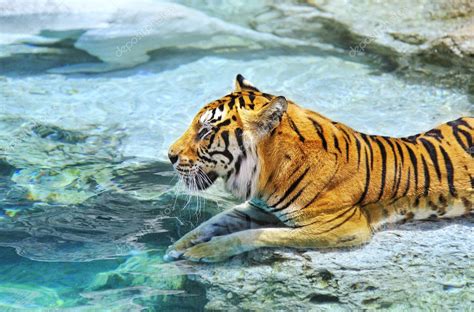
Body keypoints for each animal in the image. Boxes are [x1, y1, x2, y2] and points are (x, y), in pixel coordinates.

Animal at [164, 74, 474, 262]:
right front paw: (177, 247)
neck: (269, 174)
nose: (169, 155)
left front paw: (203, 251)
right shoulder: (257, 207)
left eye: (205, 131)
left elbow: (253, 235)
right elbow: (213, 222)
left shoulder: (342, 226)